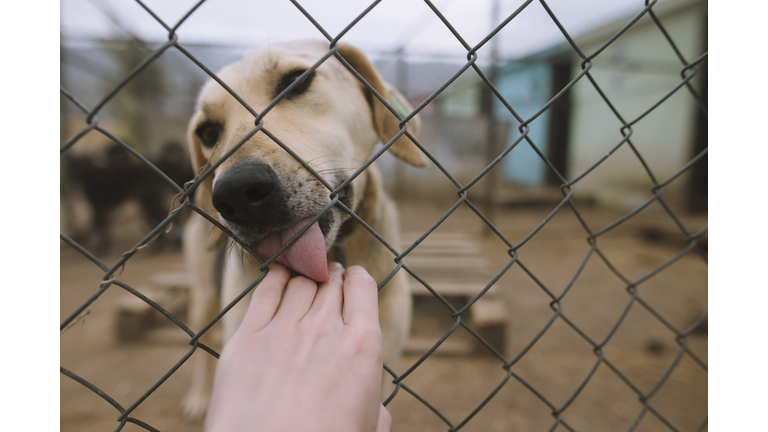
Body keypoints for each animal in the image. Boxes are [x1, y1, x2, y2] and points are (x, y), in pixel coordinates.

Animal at [182, 39, 428, 418]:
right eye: (208, 132)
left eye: (297, 81)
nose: (236, 193)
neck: (332, 253)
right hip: (204, 291)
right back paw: (198, 395)